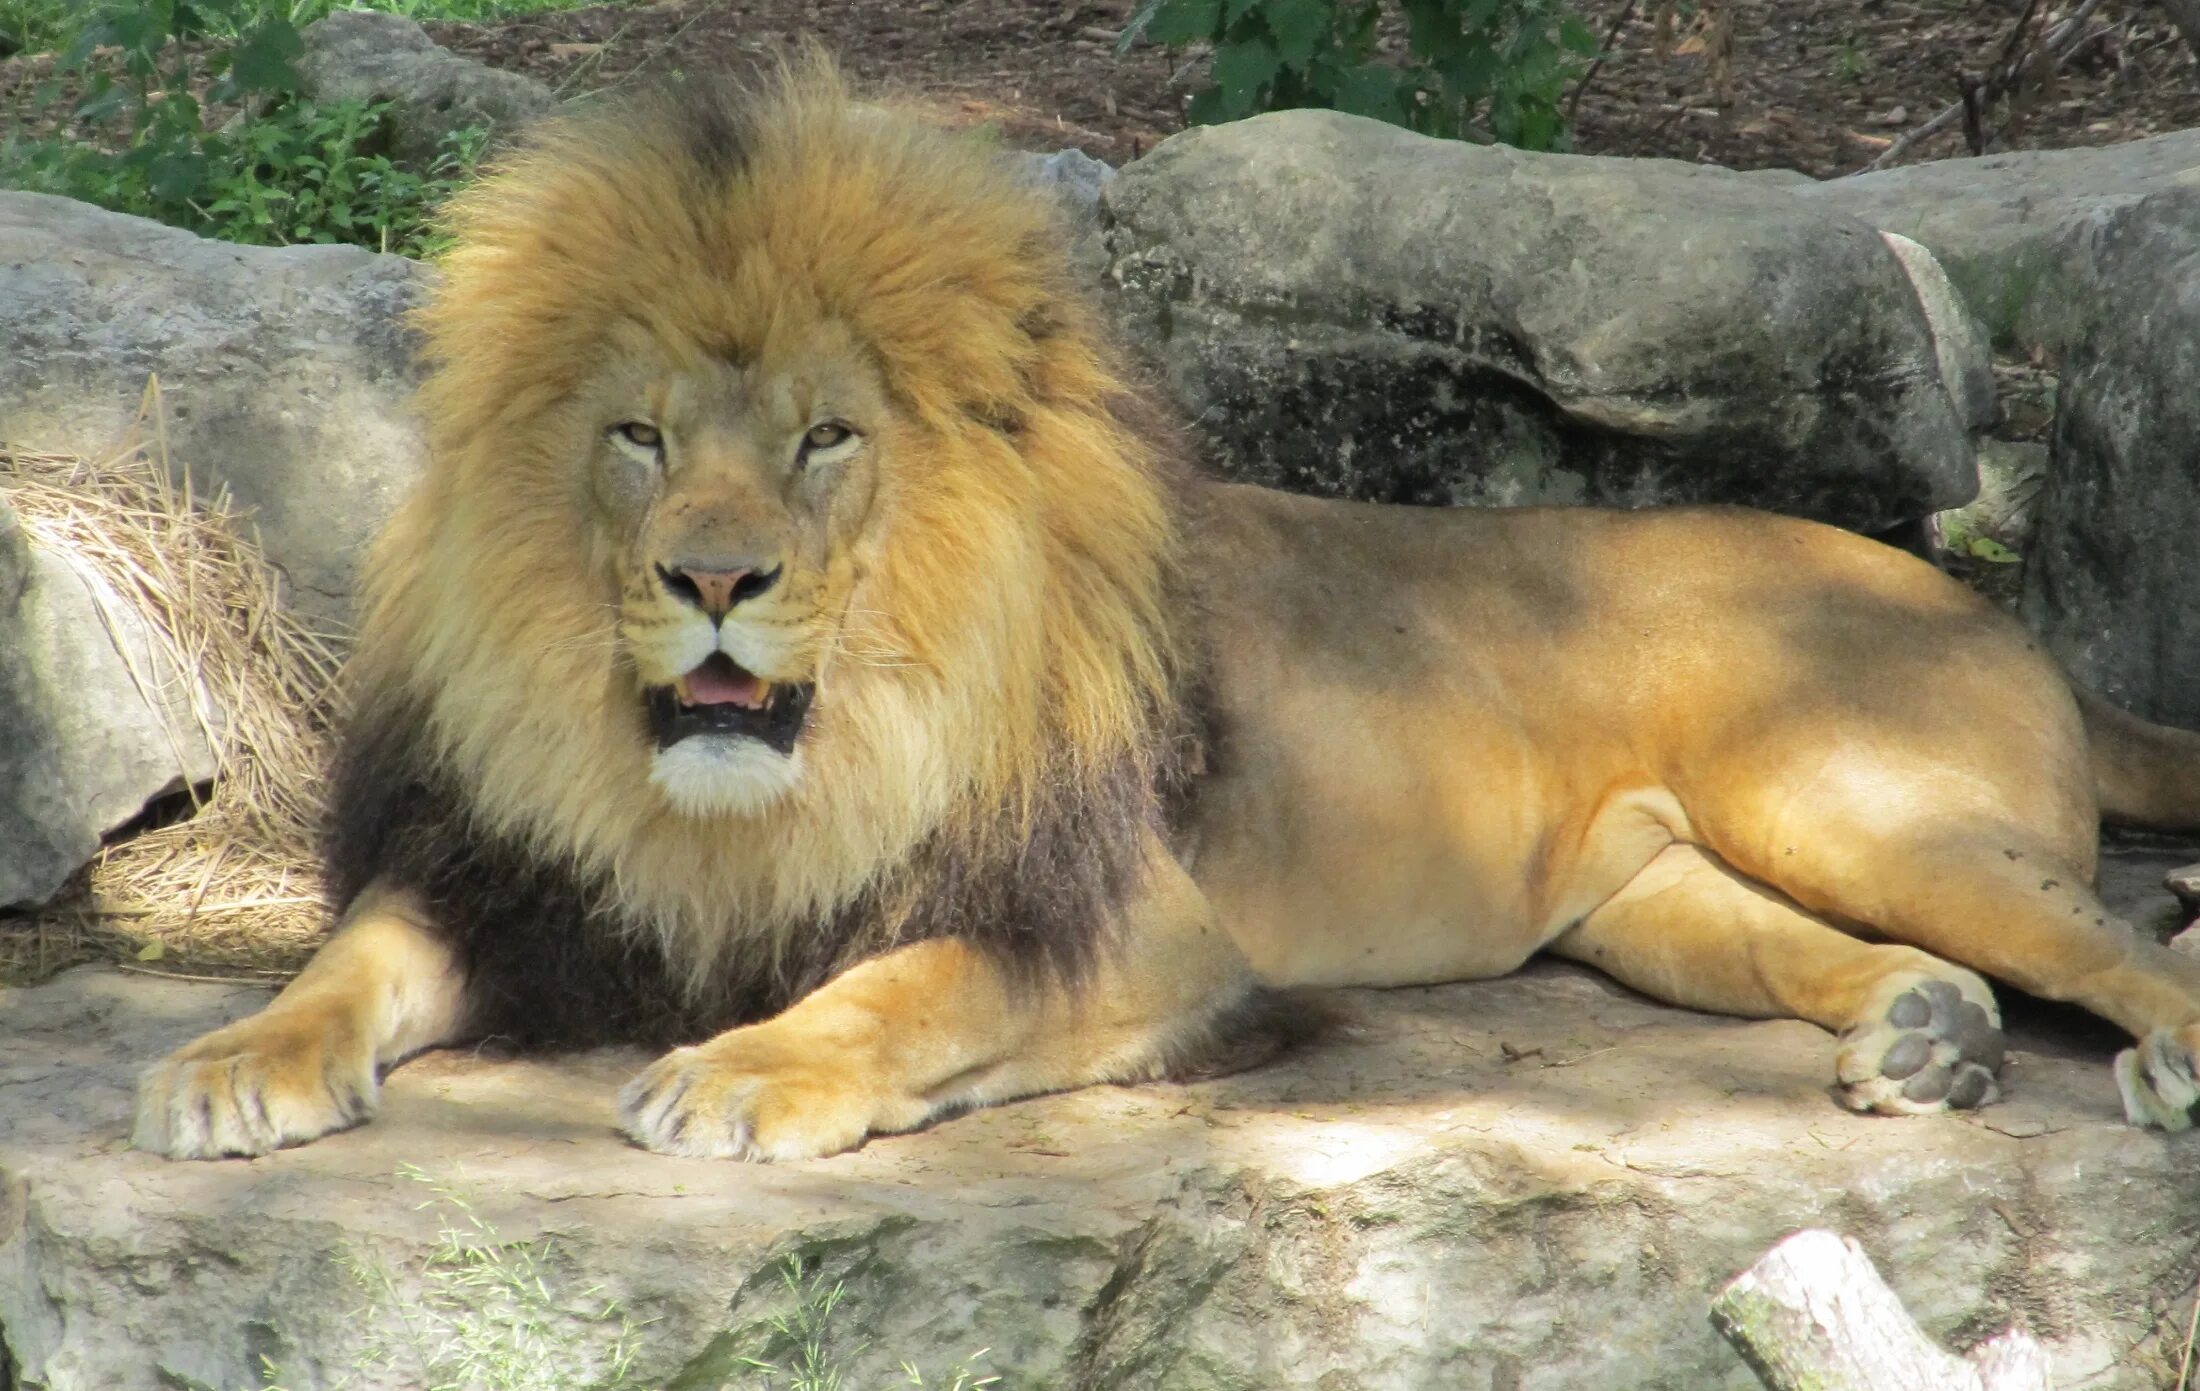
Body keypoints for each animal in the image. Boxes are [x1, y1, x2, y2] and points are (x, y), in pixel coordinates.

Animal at [128, 67, 2200, 1162]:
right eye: (638, 438)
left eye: (823, 440)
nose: (712, 581)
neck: (771, 787)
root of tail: (1961, 590)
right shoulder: (522, 880)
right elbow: (355, 956)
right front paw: (232, 1062)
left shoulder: (1142, 928)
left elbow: (903, 985)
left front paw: (742, 1070)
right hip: (1654, 897)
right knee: (1870, 955)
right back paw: (1924, 1040)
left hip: (1856, 803)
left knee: (2122, 941)